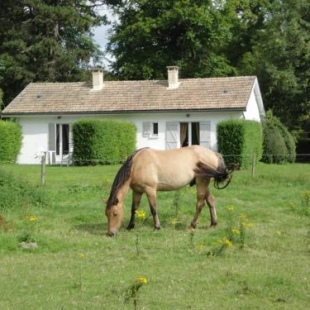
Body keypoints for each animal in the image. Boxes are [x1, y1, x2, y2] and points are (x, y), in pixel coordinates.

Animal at [104, 145, 232, 237]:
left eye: (115, 214)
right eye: (106, 214)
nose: (111, 233)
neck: (137, 164)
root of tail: (214, 153)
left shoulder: (150, 190)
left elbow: (153, 209)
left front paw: (156, 227)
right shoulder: (137, 191)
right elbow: (134, 209)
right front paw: (130, 226)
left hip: (202, 182)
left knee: (200, 204)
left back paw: (192, 225)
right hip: (203, 184)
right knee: (211, 201)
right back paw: (213, 224)